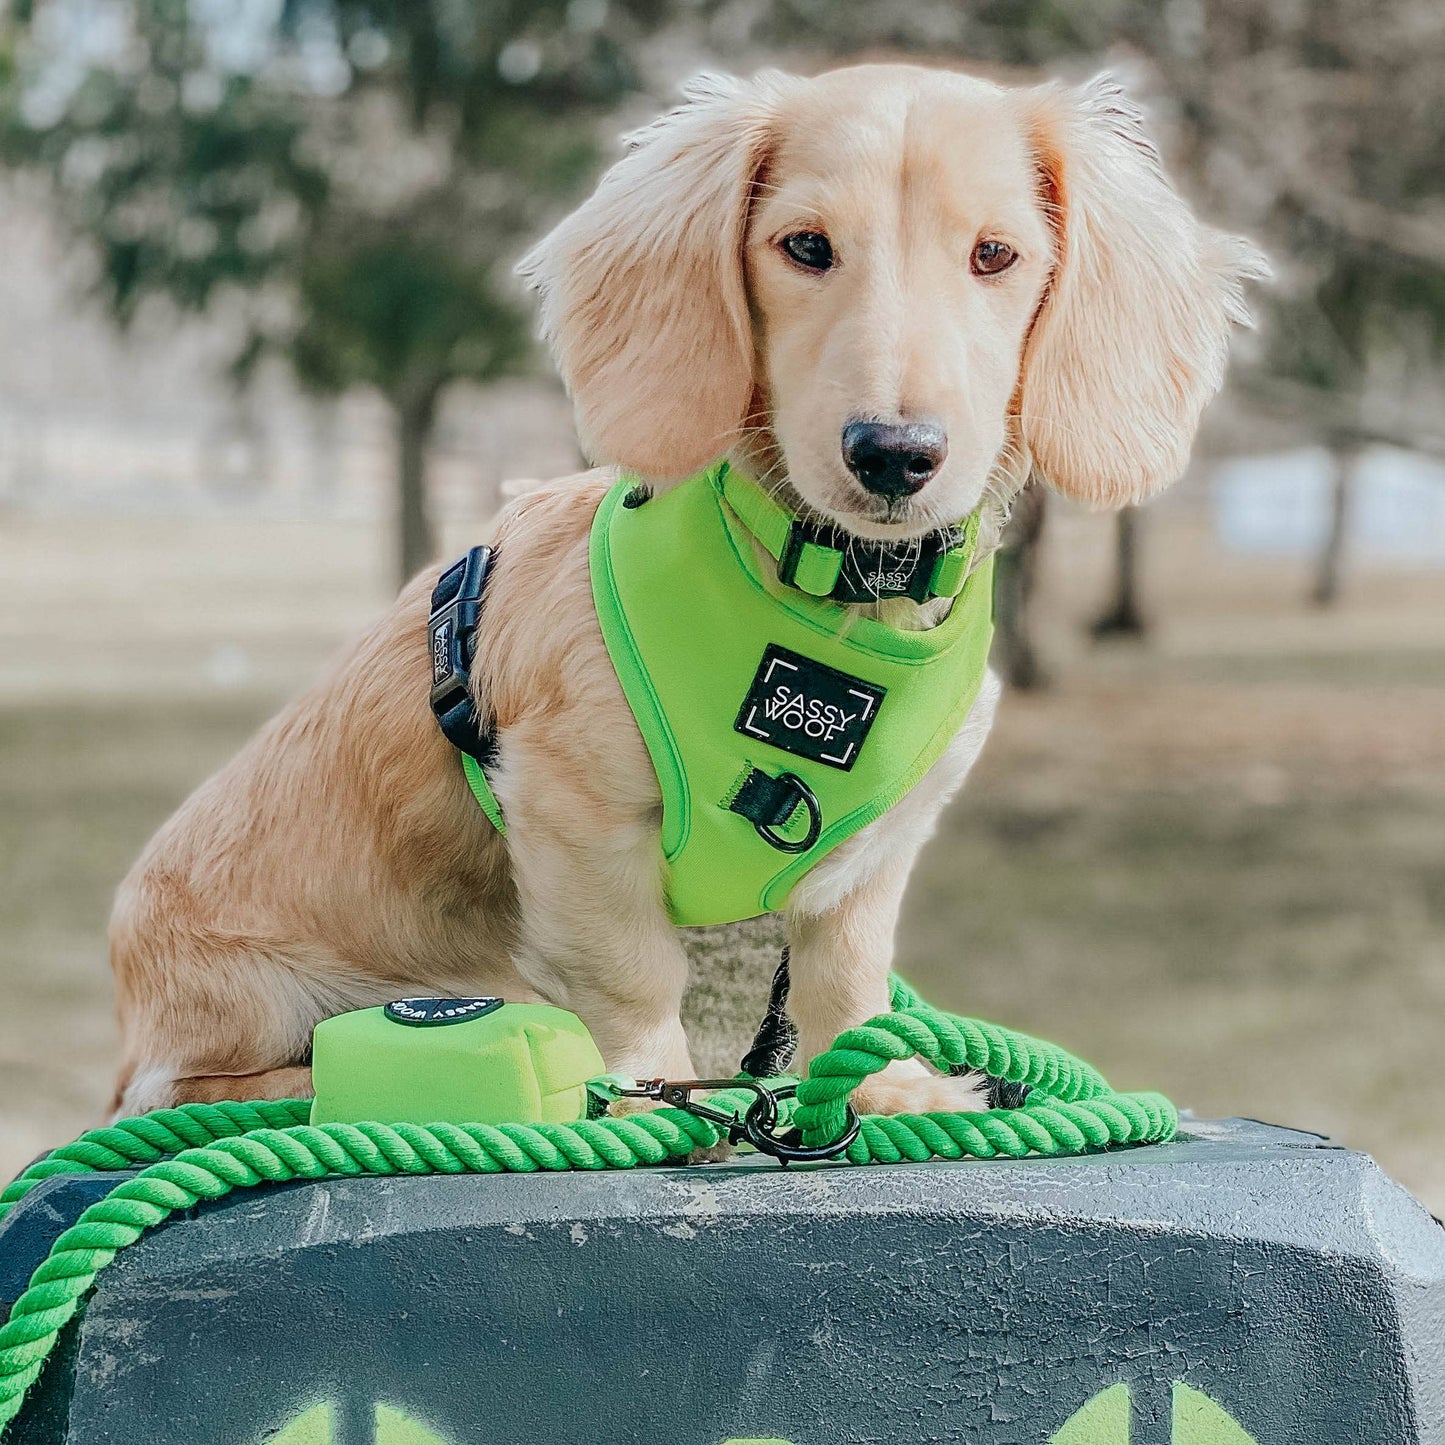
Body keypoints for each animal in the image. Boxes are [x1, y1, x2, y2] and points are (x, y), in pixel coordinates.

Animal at [109, 65, 1265, 1115]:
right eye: (805, 247)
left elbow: (846, 987)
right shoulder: (572, 812)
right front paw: (653, 1097)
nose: (894, 454)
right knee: (178, 1091)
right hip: (247, 1005)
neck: (832, 600)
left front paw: (884, 1089)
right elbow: (631, 978)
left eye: (994, 254)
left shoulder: (866, 862)